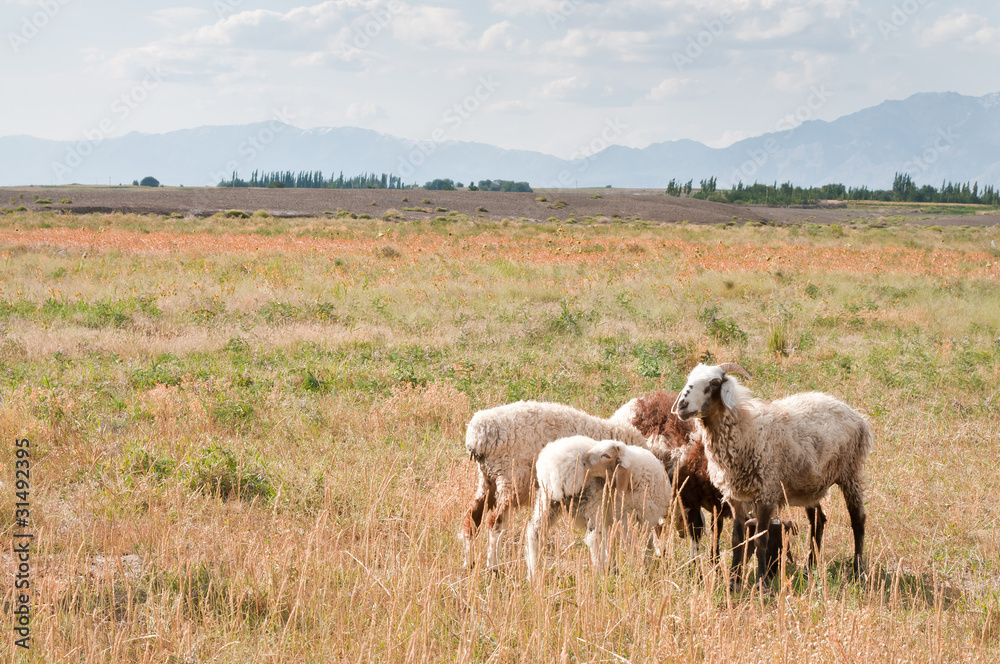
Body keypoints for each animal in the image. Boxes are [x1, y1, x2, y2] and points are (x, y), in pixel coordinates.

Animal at [458, 400, 644, 572]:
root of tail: (479, 434)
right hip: (511, 479)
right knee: (495, 522)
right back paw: (493, 566)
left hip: (488, 481)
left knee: (472, 518)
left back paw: (469, 563)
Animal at [524, 436, 672, 576]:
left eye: (606, 455)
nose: (583, 461)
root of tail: (554, 468)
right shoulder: (626, 518)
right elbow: (635, 544)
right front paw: (642, 570)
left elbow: (644, 543)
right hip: (592, 505)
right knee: (595, 538)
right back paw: (602, 573)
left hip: (548, 501)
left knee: (535, 532)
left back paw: (534, 572)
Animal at [672, 364, 876, 588]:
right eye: (689, 379)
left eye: (715, 383)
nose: (682, 405)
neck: (745, 429)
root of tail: (856, 415)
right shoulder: (736, 497)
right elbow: (737, 540)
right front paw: (734, 582)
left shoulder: (766, 493)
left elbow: (762, 538)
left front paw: (762, 582)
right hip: (810, 484)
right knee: (819, 521)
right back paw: (810, 567)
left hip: (850, 472)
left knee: (858, 519)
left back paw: (859, 571)